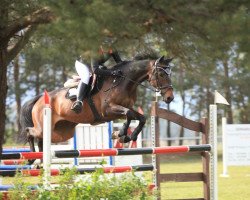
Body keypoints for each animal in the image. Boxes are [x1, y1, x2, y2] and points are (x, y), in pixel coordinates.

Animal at [19, 55, 174, 164]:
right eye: (161, 74)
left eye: (169, 74)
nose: (169, 98)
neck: (123, 82)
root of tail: (40, 99)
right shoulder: (108, 110)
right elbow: (129, 114)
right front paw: (122, 134)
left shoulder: (121, 110)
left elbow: (139, 117)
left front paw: (125, 135)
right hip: (44, 127)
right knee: (29, 132)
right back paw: (31, 158)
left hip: (61, 133)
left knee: (41, 139)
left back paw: (39, 160)